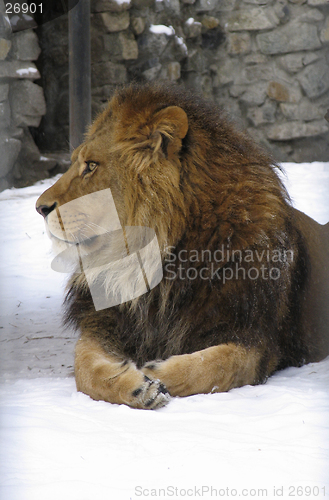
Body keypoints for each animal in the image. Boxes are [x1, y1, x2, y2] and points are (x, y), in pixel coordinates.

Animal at [36, 83, 328, 410]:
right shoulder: (104, 324)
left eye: (91, 166)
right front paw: (139, 387)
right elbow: (85, 370)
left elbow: (215, 366)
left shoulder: (257, 340)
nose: (39, 207)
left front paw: (154, 373)